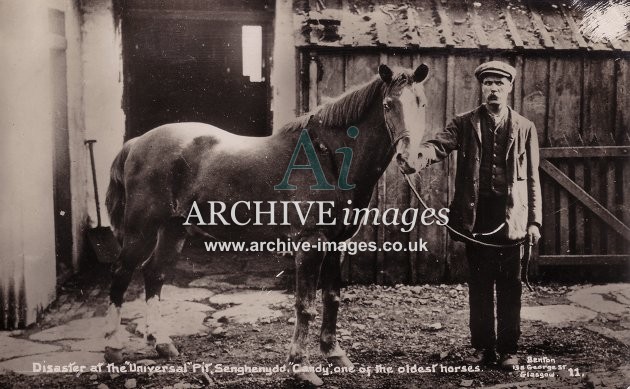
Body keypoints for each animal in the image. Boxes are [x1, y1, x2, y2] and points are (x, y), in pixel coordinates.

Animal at [105, 63, 430, 384]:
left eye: (422, 103)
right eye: (388, 105)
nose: (409, 159)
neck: (329, 158)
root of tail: (136, 143)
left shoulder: (336, 243)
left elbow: (332, 298)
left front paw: (335, 354)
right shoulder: (310, 243)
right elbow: (305, 305)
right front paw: (301, 366)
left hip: (173, 229)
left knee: (154, 274)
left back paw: (162, 343)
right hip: (141, 230)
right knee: (121, 275)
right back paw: (112, 347)